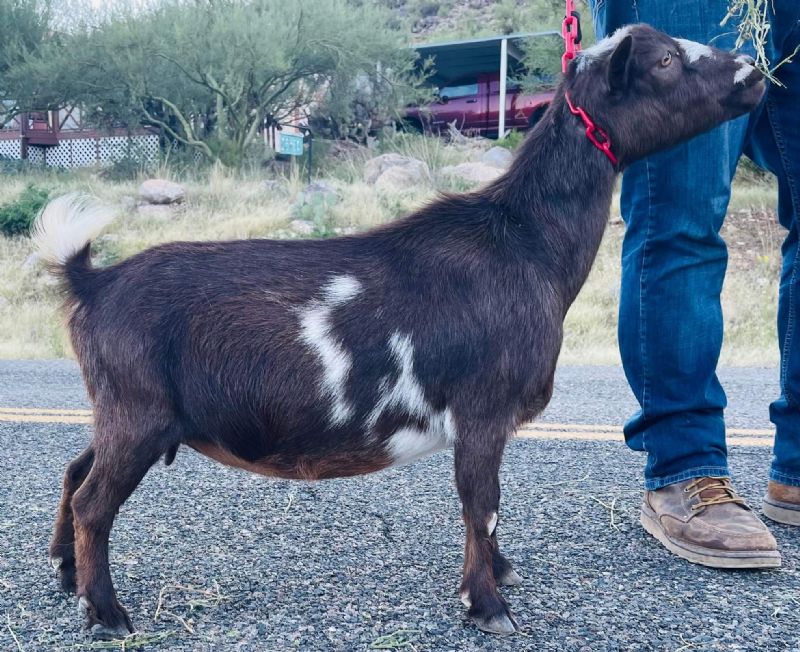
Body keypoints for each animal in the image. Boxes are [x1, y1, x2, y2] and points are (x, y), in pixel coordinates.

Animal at [40, 25, 764, 636]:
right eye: (665, 61)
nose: (755, 74)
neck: (524, 241)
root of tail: (93, 284)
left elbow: (488, 508)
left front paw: (500, 575)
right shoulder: (482, 407)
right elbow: (481, 502)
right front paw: (487, 605)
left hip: (121, 409)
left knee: (75, 471)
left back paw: (66, 574)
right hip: (139, 410)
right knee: (95, 501)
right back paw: (107, 614)